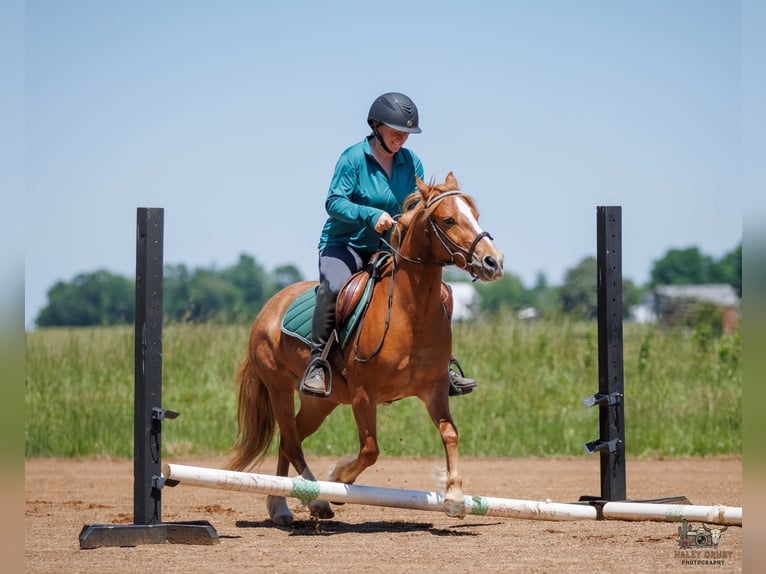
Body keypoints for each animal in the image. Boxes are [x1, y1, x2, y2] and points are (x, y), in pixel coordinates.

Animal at [227, 172, 504, 526]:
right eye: (449, 219)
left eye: (475, 215)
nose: (493, 262)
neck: (410, 314)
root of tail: (269, 307)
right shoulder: (363, 394)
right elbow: (371, 449)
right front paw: (337, 477)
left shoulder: (435, 389)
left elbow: (450, 433)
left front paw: (454, 497)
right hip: (279, 388)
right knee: (291, 441)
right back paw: (311, 500)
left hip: (322, 402)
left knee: (290, 440)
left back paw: (286, 503)